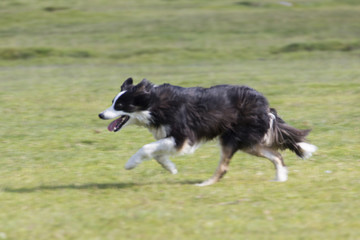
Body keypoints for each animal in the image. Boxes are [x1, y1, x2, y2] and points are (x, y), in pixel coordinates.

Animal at [97, 78, 316, 187]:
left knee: (223, 168)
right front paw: (171, 168)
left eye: (120, 105)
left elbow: (146, 147)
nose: (100, 114)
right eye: (112, 101)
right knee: (277, 155)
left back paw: (205, 184)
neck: (154, 103)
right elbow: (157, 154)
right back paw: (280, 179)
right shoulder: (170, 138)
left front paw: (131, 163)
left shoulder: (183, 138)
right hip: (248, 142)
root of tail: (266, 105)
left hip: (232, 140)